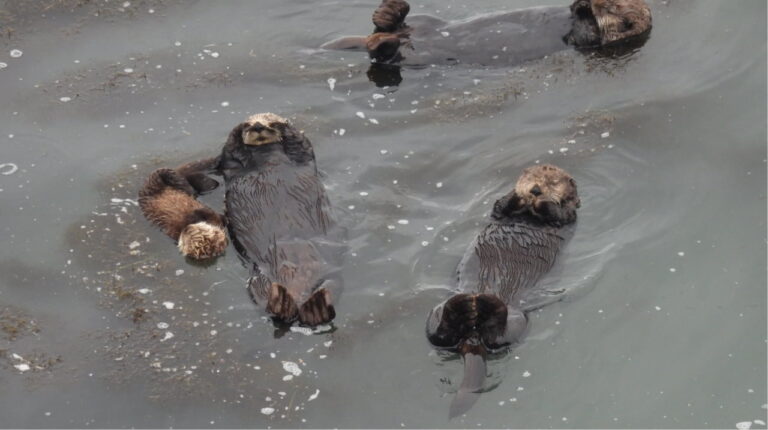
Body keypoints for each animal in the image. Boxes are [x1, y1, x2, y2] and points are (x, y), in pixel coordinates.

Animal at [320, 0, 652, 86]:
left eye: (613, 6)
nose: (596, 1)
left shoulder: (592, 40)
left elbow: (587, 32)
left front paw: (586, 10)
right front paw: (579, 3)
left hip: (408, 56)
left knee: (383, 55)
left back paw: (383, 39)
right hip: (426, 21)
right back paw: (390, 10)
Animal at [426, 164, 584, 416]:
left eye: (552, 182)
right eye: (531, 178)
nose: (535, 189)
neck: (528, 214)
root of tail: (473, 333)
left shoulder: (568, 218)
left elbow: (558, 214)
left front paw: (544, 200)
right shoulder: (500, 212)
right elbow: (500, 205)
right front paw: (518, 194)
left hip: (518, 318)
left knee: (498, 337)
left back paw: (485, 305)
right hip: (436, 311)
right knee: (439, 335)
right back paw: (464, 306)